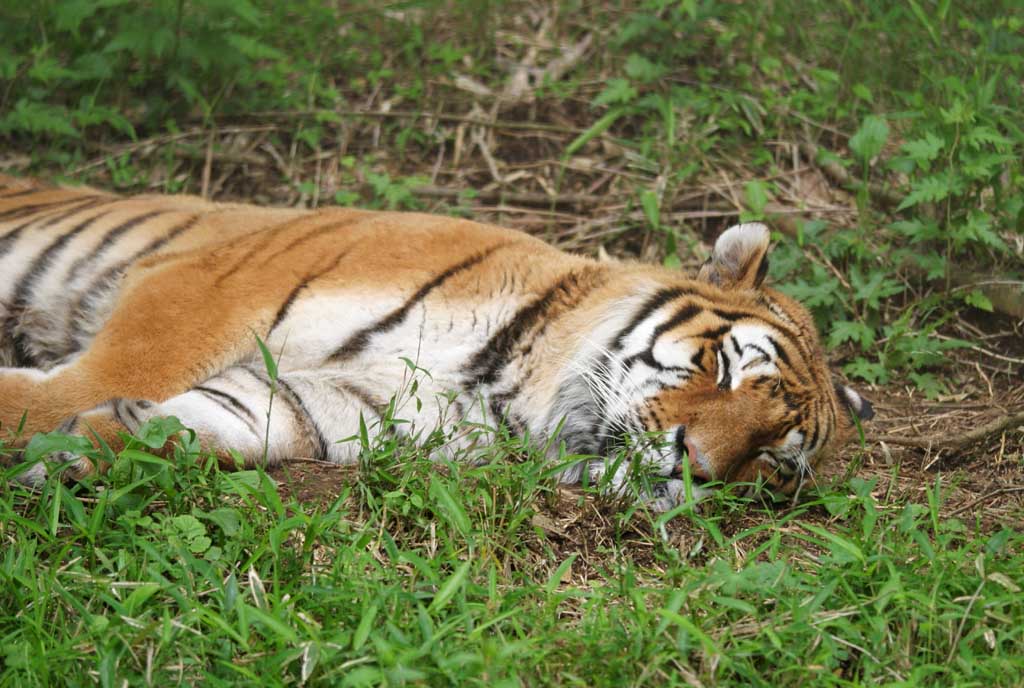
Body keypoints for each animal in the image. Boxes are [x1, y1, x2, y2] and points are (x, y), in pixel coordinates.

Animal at [0, 173, 872, 509]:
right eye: (723, 368)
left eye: (772, 460)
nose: (694, 466)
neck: (505, 382)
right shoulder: (206, 285)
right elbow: (97, 378)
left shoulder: (317, 402)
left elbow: (209, 423)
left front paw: (85, 452)